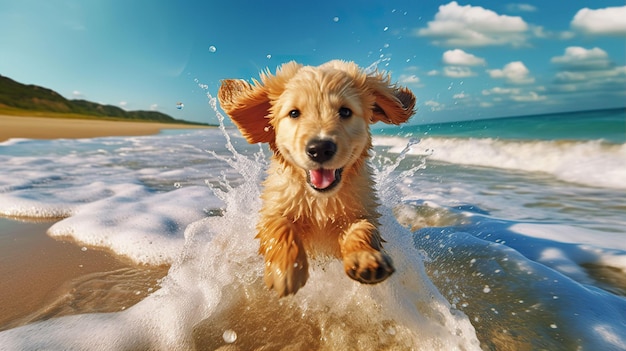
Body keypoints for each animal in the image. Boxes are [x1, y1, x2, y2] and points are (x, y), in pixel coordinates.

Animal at [217, 60, 412, 296]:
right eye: (294, 113)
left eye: (345, 111)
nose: (320, 149)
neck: (320, 200)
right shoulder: (275, 204)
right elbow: (278, 226)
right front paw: (286, 269)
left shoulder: (363, 209)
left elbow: (363, 229)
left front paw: (365, 259)